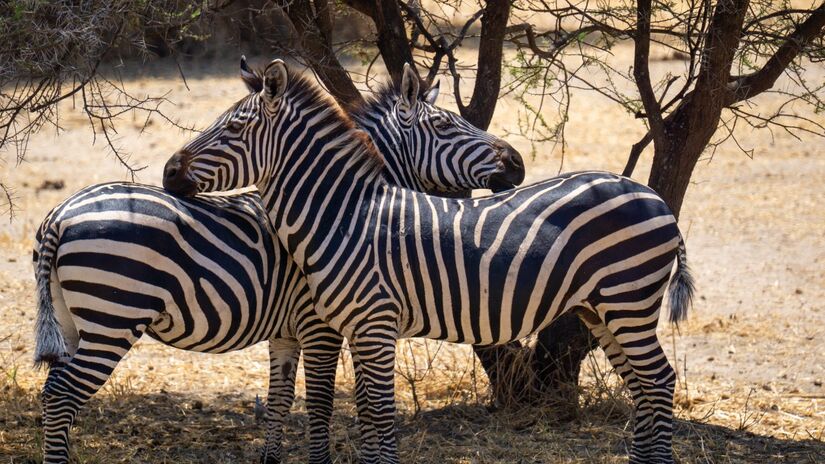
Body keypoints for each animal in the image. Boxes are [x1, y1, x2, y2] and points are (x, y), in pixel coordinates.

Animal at [32, 61, 524, 464]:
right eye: (445, 125)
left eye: (232, 126)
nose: (517, 163)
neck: (342, 208)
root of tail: (60, 213)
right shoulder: (322, 325)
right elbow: (324, 404)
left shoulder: (292, 329)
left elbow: (283, 403)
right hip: (113, 317)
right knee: (61, 396)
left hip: (75, 322)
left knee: (54, 394)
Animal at [164, 58, 695, 464]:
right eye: (443, 124)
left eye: (233, 128)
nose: (169, 171)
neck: (343, 215)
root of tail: (653, 195)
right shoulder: (355, 328)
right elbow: (363, 411)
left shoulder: (366, 324)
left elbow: (375, 412)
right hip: (602, 309)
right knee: (642, 384)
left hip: (627, 303)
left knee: (658, 380)